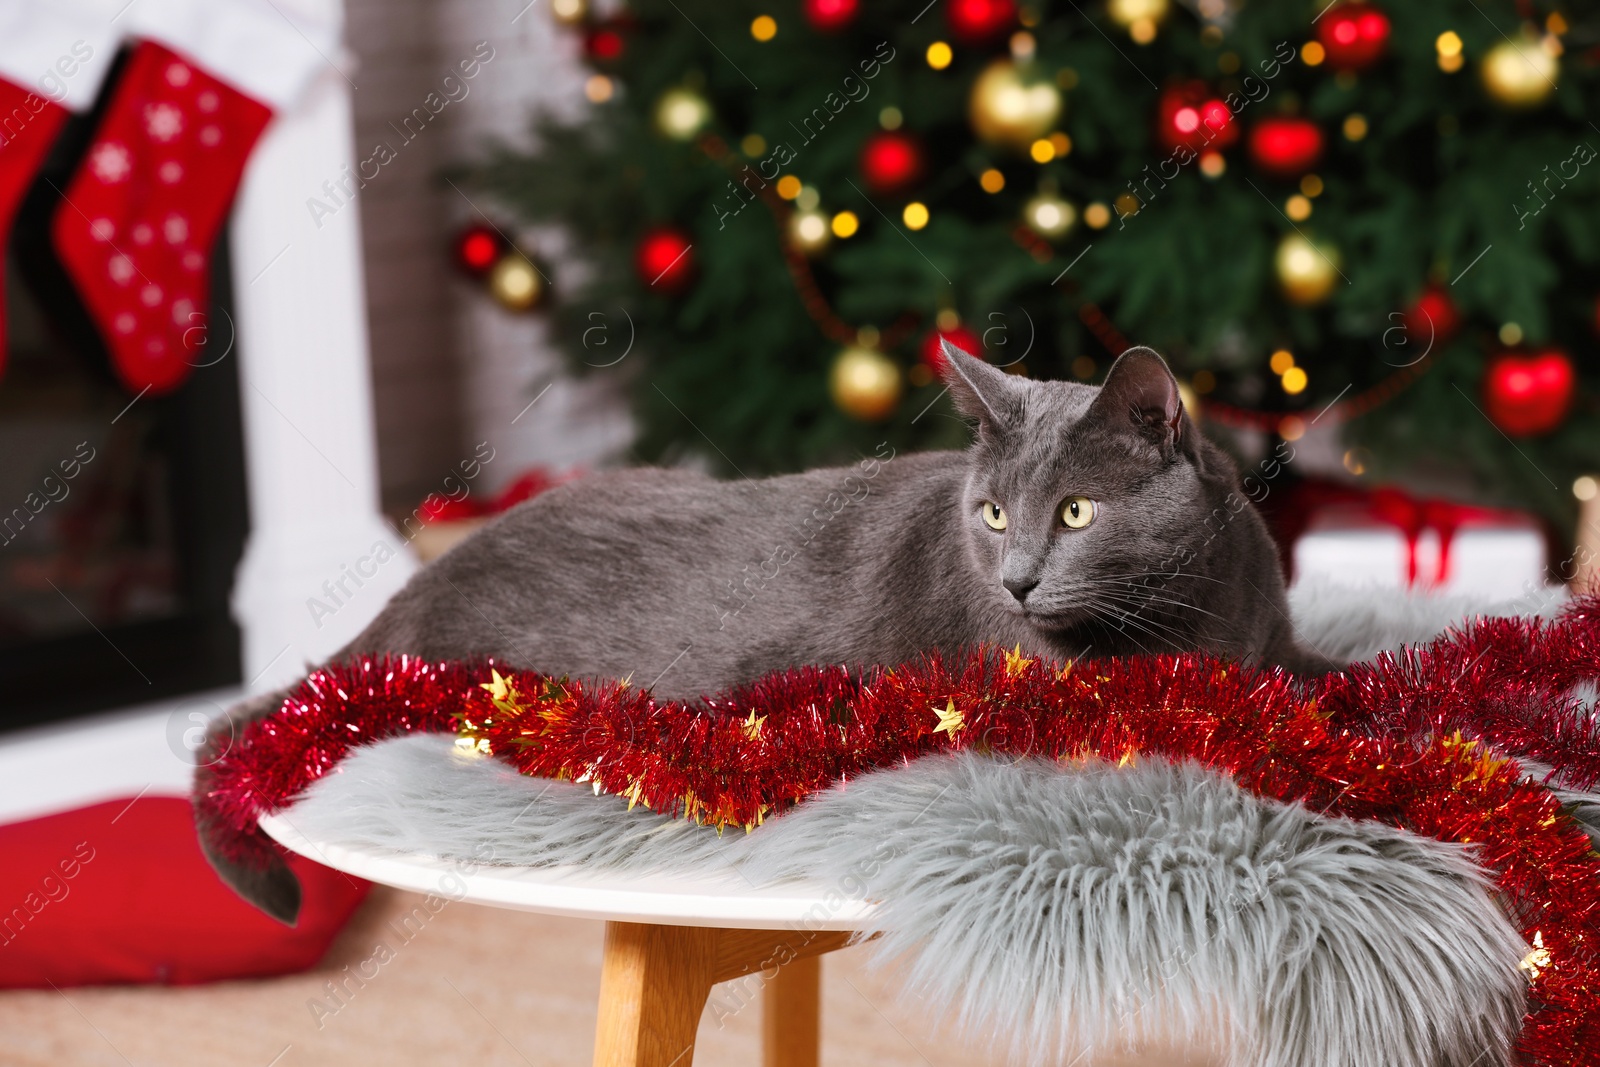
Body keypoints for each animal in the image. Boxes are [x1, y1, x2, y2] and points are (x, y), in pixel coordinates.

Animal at [200, 347, 1331, 921]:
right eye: (994, 512)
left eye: (1077, 512)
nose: (1013, 579)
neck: (1188, 615)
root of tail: (409, 595)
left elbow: (1311, 673)